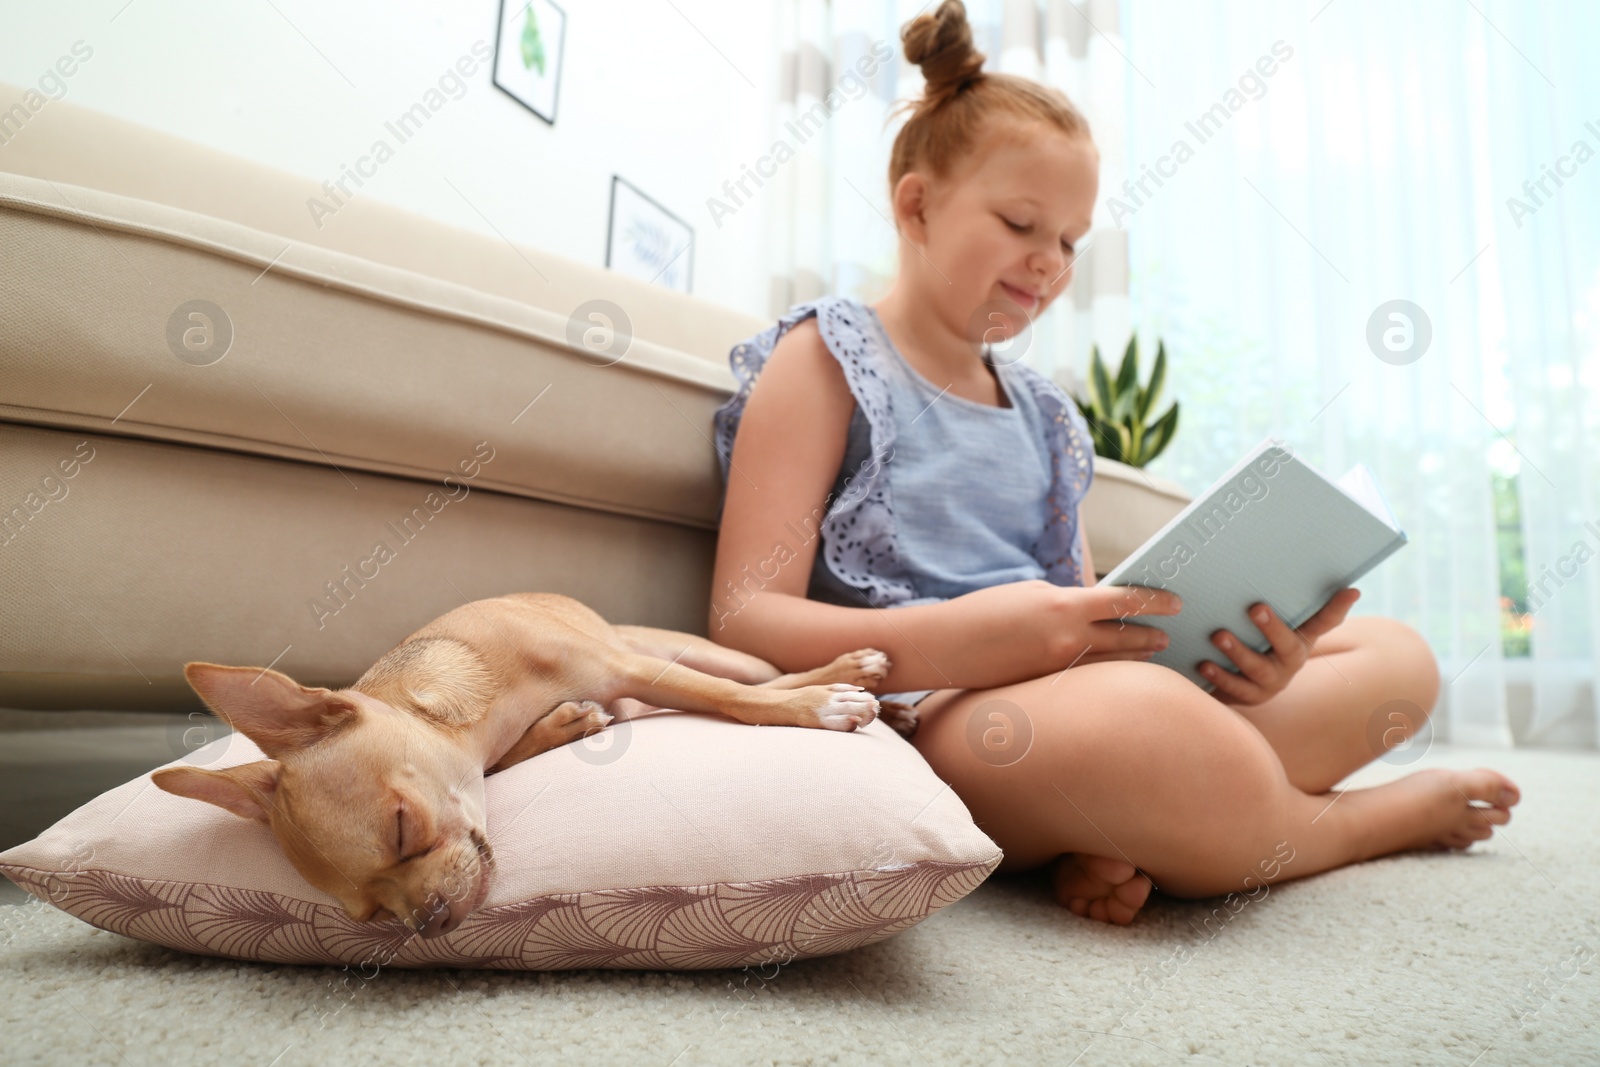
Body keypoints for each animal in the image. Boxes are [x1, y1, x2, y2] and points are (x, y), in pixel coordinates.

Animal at [156, 598, 921, 940]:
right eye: (372, 915)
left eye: (404, 828)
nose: (427, 924)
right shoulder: (505, 742)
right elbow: (526, 744)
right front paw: (565, 724)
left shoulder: (628, 669)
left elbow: (733, 700)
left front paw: (816, 707)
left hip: (686, 652)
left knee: (756, 674)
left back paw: (849, 677)